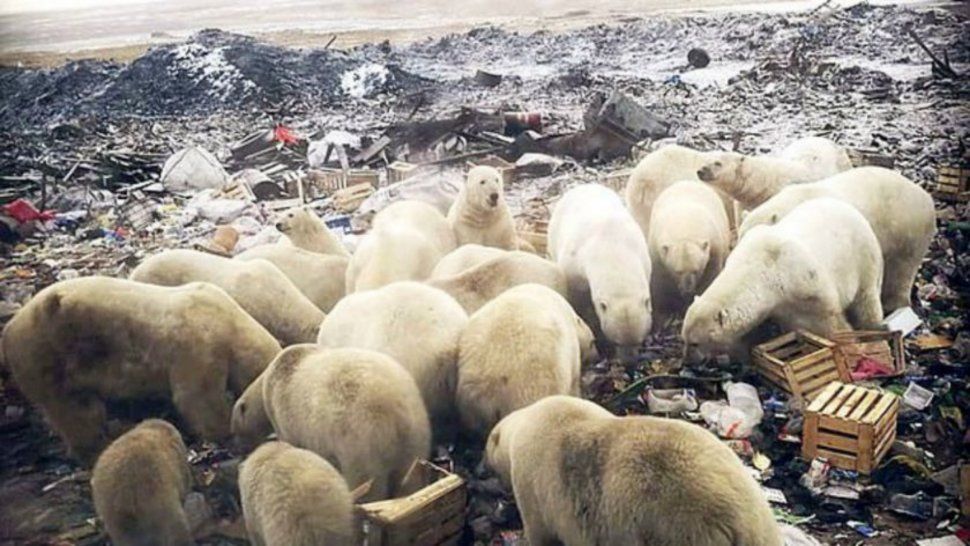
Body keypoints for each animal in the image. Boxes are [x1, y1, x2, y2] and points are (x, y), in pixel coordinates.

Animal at [1, 277, 280, 464]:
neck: (230, 321)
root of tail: (9, 331)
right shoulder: (199, 345)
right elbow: (196, 397)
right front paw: (223, 430)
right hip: (48, 355)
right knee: (76, 410)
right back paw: (97, 447)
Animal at [230, 345, 430, 501]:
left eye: (235, 431)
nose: (238, 450)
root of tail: (396, 412)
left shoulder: (284, 415)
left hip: (360, 440)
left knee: (366, 481)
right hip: (416, 433)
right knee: (410, 476)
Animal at [647, 180, 731, 322]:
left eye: (696, 270)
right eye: (678, 271)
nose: (687, 290)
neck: (684, 227)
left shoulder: (714, 249)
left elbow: (710, 276)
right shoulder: (657, 252)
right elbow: (660, 283)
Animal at [683, 198, 884, 362]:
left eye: (695, 343)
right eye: (684, 338)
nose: (689, 361)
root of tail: (845, 206)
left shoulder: (807, 283)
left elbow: (831, 321)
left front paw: (851, 347)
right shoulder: (780, 305)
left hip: (863, 255)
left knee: (867, 298)